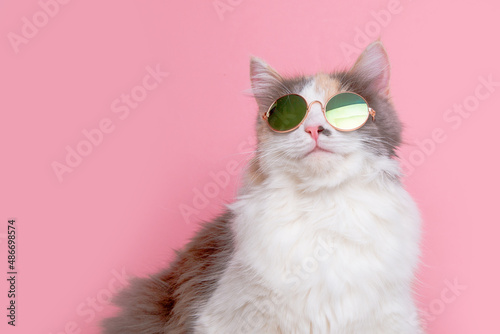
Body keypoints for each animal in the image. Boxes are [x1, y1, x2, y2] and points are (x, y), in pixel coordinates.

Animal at [103, 41, 424, 334]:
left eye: (344, 110)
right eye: (287, 116)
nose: (314, 129)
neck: (323, 204)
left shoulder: (391, 316)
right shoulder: (223, 316)